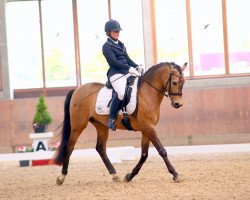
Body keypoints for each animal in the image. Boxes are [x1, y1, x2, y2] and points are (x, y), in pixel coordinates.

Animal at [51, 61, 187, 185]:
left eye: (183, 83)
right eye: (174, 83)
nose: (178, 104)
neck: (147, 94)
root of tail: (77, 89)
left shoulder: (147, 129)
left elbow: (144, 155)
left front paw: (129, 176)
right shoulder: (149, 128)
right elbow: (162, 151)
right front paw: (175, 174)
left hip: (101, 125)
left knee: (100, 148)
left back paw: (115, 175)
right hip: (78, 126)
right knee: (69, 146)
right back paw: (61, 177)